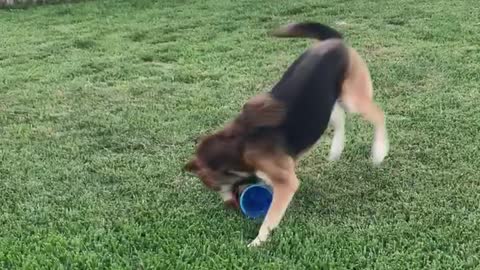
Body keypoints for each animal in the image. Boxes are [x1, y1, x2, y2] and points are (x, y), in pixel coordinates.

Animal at [185, 22, 390, 247]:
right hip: (325, 106)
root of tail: (334, 41)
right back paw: (336, 150)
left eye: (214, 186)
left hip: (352, 98)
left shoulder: (286, 182)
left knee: (378, 115)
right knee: (340, 119)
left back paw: (380, 151)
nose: (231, 207)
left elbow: (270, 218)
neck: (239, 145)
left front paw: (257, 242)